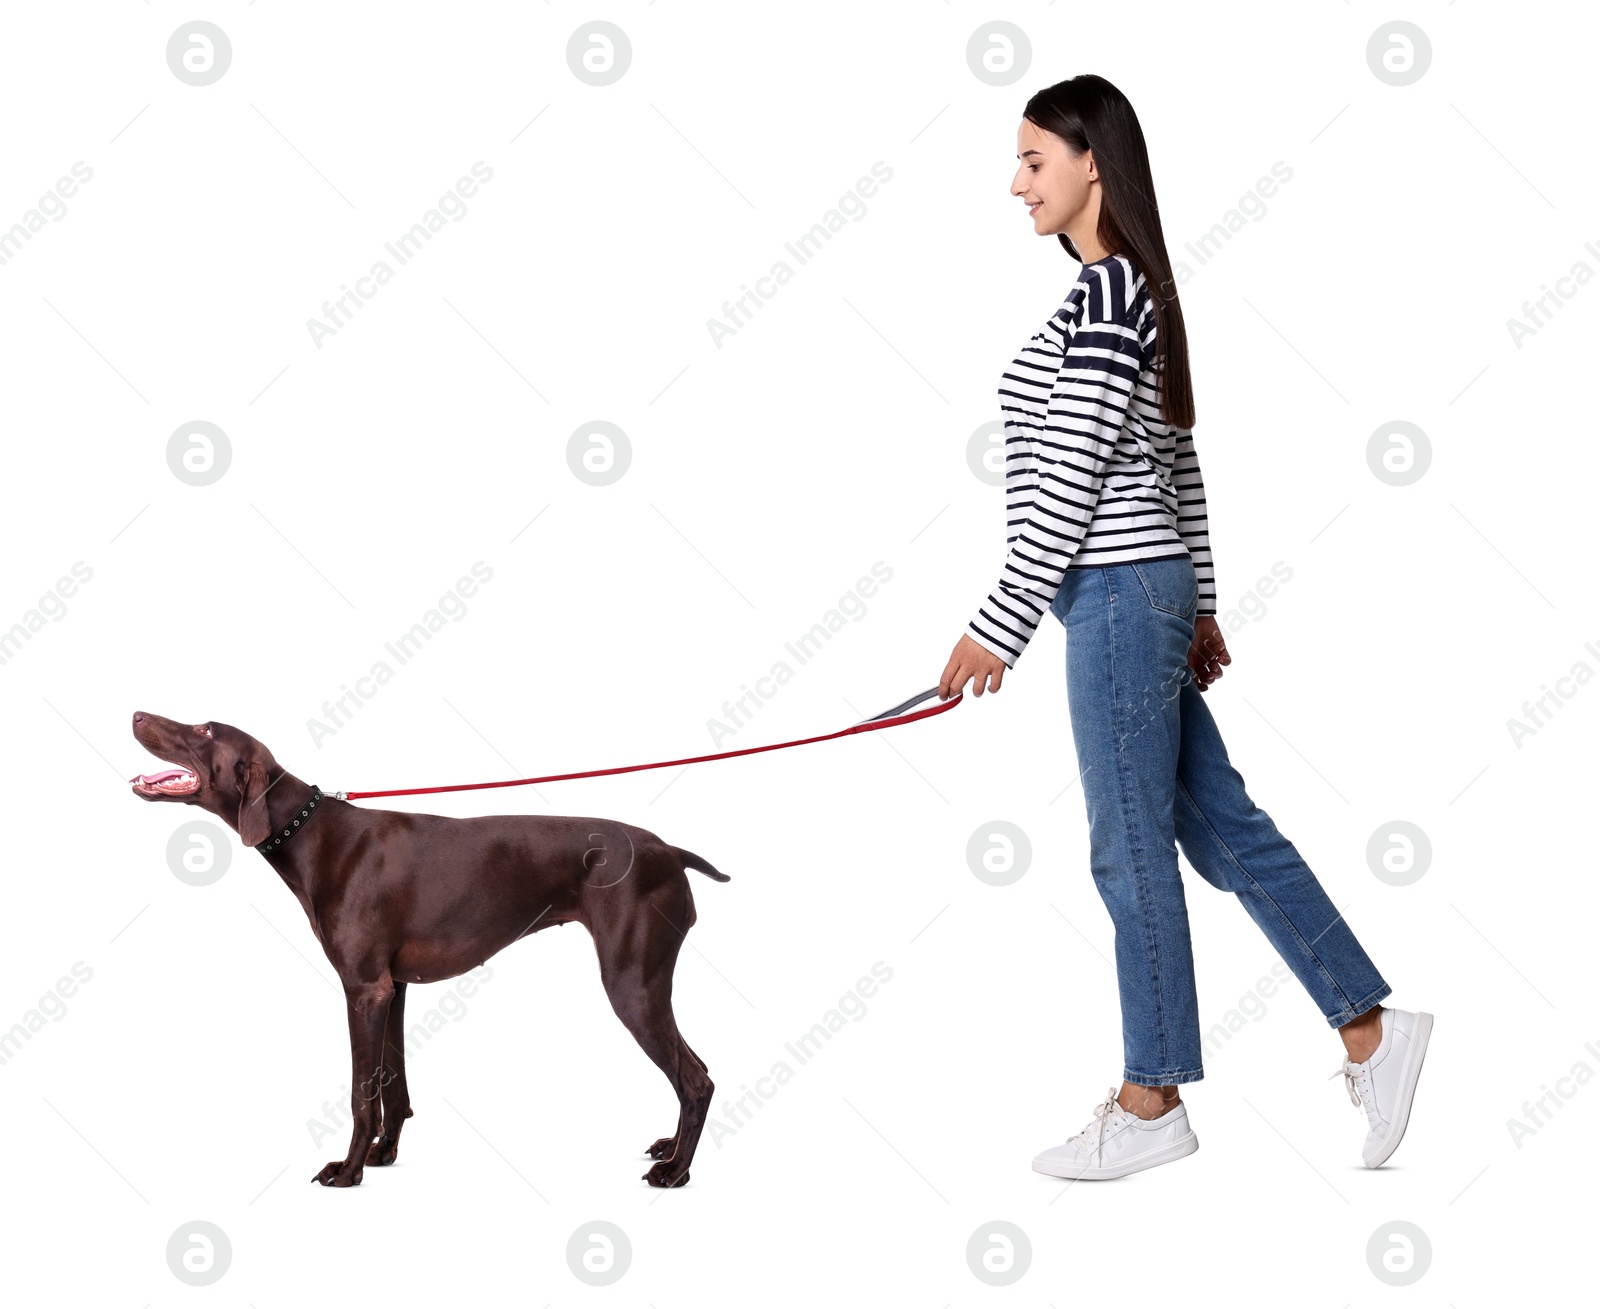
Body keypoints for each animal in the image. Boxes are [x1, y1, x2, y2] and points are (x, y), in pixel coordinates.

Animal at [128, 710, 729, 1190]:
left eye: (205, 729)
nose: (135, 714)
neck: (310, 833)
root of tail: (670, 851)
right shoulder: (391, 988)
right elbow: (392, 1087)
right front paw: (384, 1153)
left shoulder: (363, 989)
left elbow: (360, 1094)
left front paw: (349, 1170)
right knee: (693, 1071)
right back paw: (671, 1149)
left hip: (632, 984)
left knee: (696, 1079)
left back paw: (676, 1171)